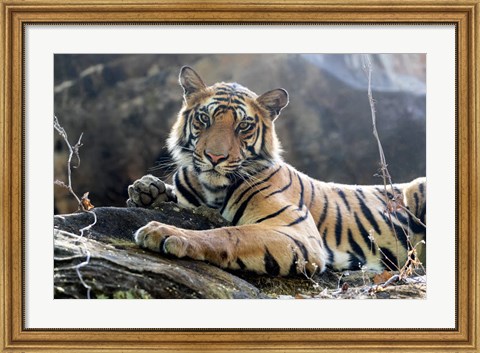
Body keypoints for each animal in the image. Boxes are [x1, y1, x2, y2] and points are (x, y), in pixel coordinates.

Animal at [125, 66, 426, 276]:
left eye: (243, 126)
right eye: (204, 118)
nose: (215, 157)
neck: (211, 189)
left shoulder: (296, 232)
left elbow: (229, 233)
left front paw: (166, 232)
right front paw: (146, 189)